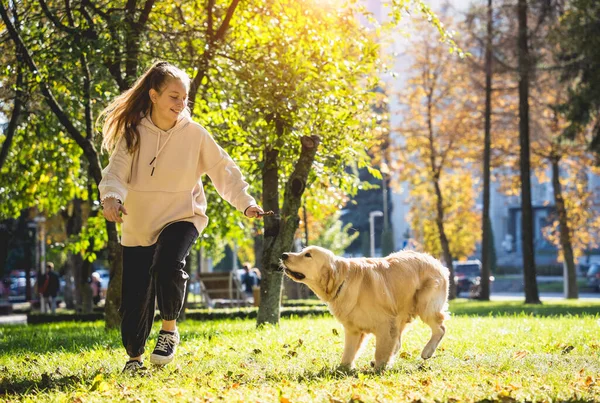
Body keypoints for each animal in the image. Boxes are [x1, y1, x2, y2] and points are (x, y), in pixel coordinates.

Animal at [278, 245, 448, 370]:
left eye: (308, 255)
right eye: (302, 251)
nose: (284, 255)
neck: (342, 281)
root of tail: (437, 262)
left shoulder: (385, 324)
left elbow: (381, 350)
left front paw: (380, 368)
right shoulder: (353, 329)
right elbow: (349, 351)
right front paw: (343, 369)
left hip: (424, 304)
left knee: (440, 328)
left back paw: (427, 351)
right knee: (399, 341)